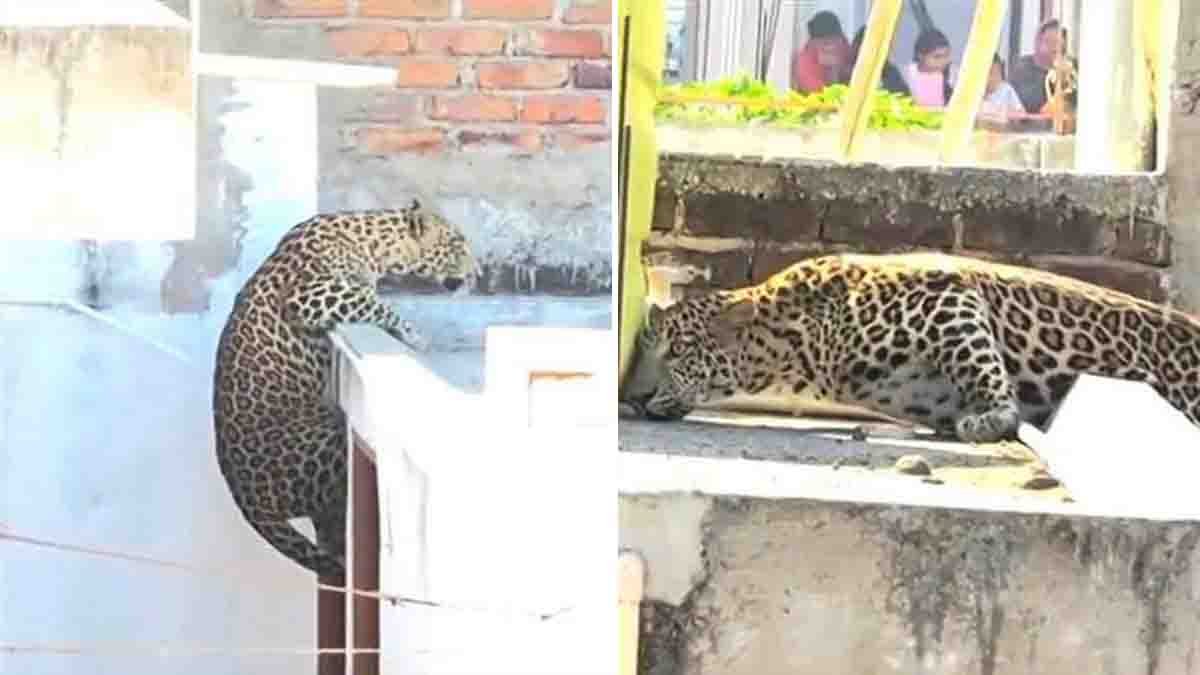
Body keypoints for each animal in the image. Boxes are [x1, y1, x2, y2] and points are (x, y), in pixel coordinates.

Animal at [212, 200, 477, 578]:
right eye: (457, 244)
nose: (476, 273)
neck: (374, 243)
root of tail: (244, 497)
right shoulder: (308, 294)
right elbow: (371, 300)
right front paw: (414, 336)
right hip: (331, 440)